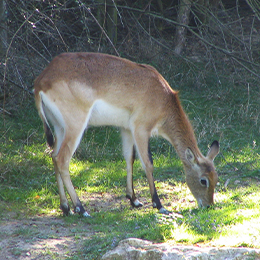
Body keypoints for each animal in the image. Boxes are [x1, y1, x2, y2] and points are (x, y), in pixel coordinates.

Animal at [33, 51, 218, 216]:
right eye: (203, 180)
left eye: (216, 178)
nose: (208, 205)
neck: (163, 99)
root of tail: (41, 81)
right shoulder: (141, 129)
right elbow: (148, 163)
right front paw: (158, 205)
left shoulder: (127, 130)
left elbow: (130, 158)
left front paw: (134, 199)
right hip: (75, 126)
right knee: (62, 159)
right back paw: (81, 209)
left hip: (59, 128)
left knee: (54, 156)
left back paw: (66, 208)